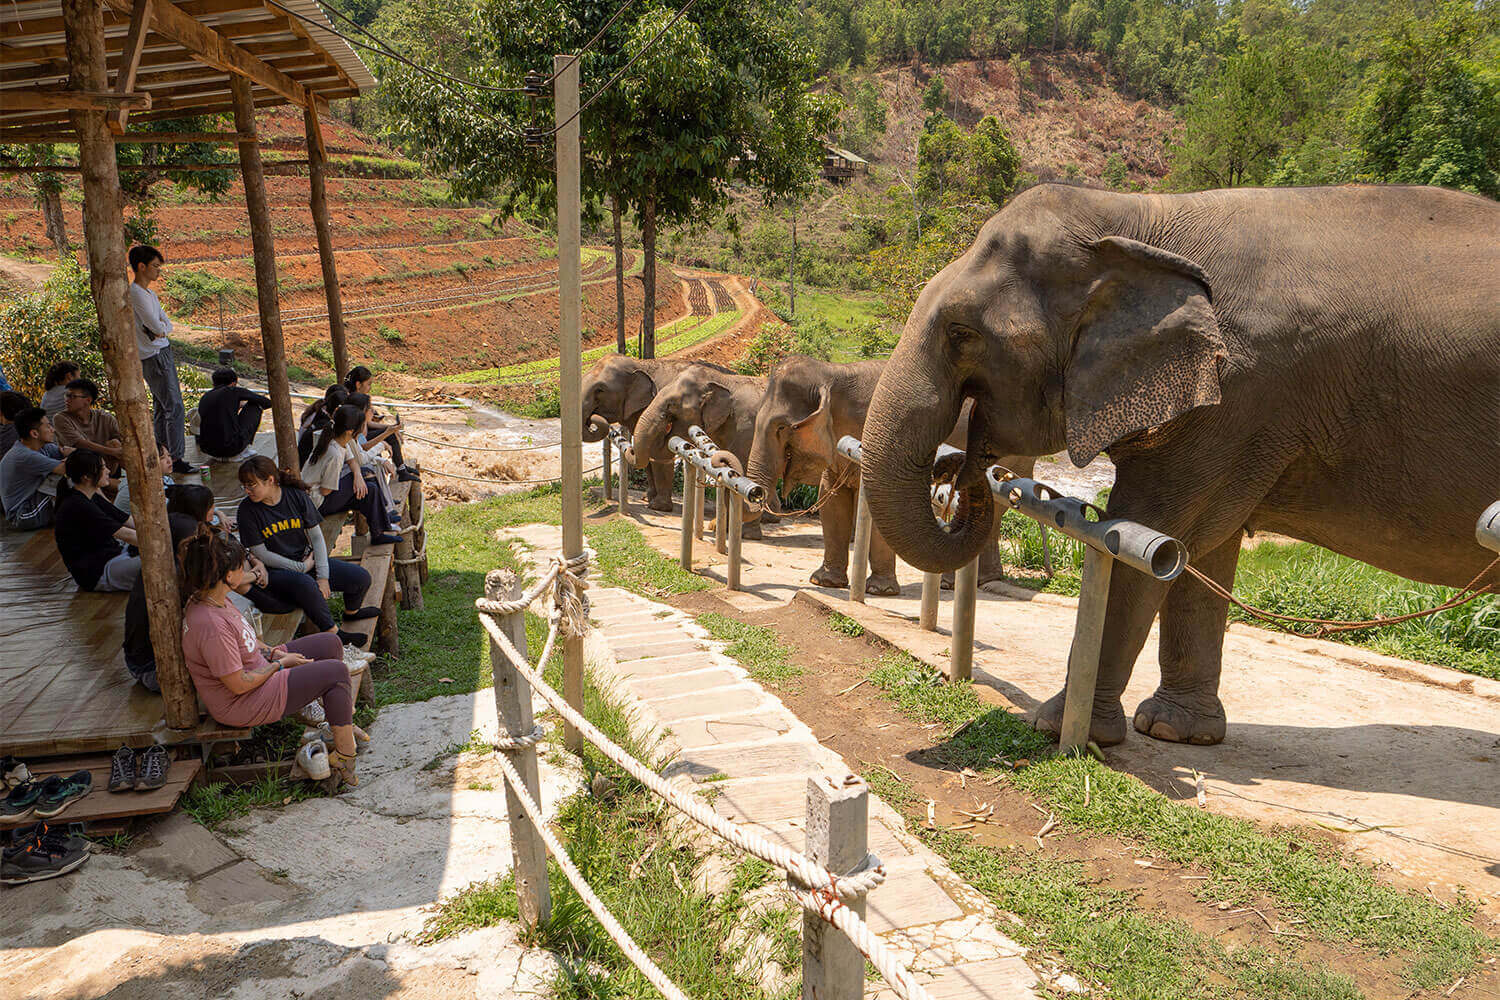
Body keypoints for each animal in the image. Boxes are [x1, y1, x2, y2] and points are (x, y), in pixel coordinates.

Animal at [581, 354, 732, 512]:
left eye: (600, 390)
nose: (592, 418)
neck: (640, 363)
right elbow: (647, 453)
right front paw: (647, 498)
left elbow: (657, 452)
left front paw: (658, 506)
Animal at [628, 364, 771, 538]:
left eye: (671, 405)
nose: (630, 449)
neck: (724, 380)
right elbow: (726, 467)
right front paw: (717, 527)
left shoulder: (747, 428)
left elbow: (739, 468)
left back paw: (751, 534)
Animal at [745, 354, 1037, 596]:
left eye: (781, 427)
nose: (757, 493)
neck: (835, 373)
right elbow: (832, 500)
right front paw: (824, 582)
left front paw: (880, 591)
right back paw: (968, 582)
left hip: (1012, 462)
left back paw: (963, 583)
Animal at [860, 183, 1500, 747]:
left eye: (961, 333)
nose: (960, 471)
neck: (1140, 216)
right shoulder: (1235, 416)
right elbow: (1200, 550)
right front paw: (1175, 733)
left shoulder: (1237, 393)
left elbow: (1150, 531)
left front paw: (1054, 728)